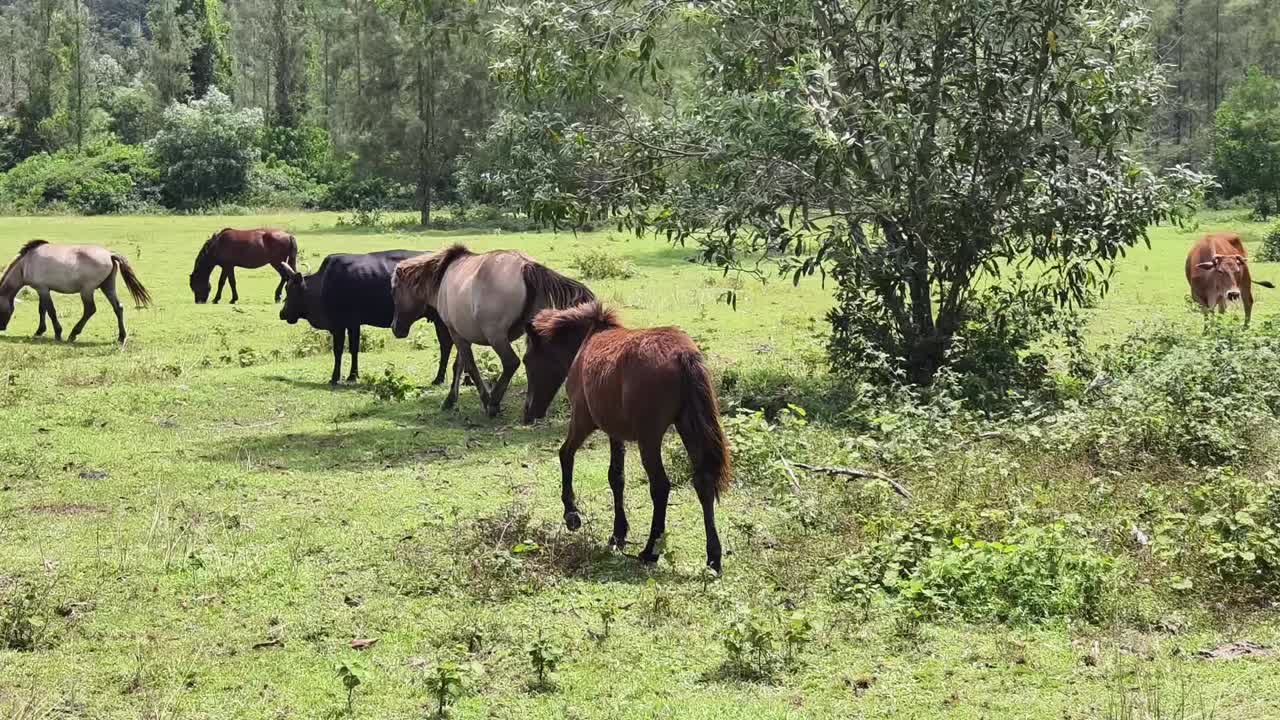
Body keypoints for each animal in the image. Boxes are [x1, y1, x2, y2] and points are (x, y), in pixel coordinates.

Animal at [0, 240, 152, 344]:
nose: (1, 328)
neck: (26, 263)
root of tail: (110, 254)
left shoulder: (42, 289)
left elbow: (50, 311)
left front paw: (58, 333)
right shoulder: (42, 290)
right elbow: (42, 310)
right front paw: (39, 331)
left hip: (87, 291)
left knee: (90, 310)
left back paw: (73, 334)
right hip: (107, 286)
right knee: (118, 307)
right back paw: (121, 337)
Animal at [280, 250, 455, 385]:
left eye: (291, 290)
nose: (282, 313)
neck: (322, 284)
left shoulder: (338, 324)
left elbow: (338, 351)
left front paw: (335, 377)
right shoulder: (353, 323)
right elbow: (354, 349)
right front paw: (353, 375)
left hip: (441, 320)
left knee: (446, 346)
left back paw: (439, 379)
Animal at [390, 244, 595, 420]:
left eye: (395, 291)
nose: (395, 328)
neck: (443, 276)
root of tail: (527, 266)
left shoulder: (455, 333)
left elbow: (470, 367)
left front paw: (483, 398)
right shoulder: (462, 335)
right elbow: (460, 366)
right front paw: (450, 399)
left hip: (496, 337)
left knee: (511, 362)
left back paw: (494, 403)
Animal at [522, 301, 731, 572]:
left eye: (527, 359)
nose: (529, 413)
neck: (588, 339)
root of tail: (682, 355)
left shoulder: (583, 420)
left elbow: (565, 454)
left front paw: (572, 515)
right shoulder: (615, 431)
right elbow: (616, 477)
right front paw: (618, 533)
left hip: (649, 438)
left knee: (660, 486)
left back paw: (650, 551)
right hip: (688, 427)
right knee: (703, 482)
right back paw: (713, 557)